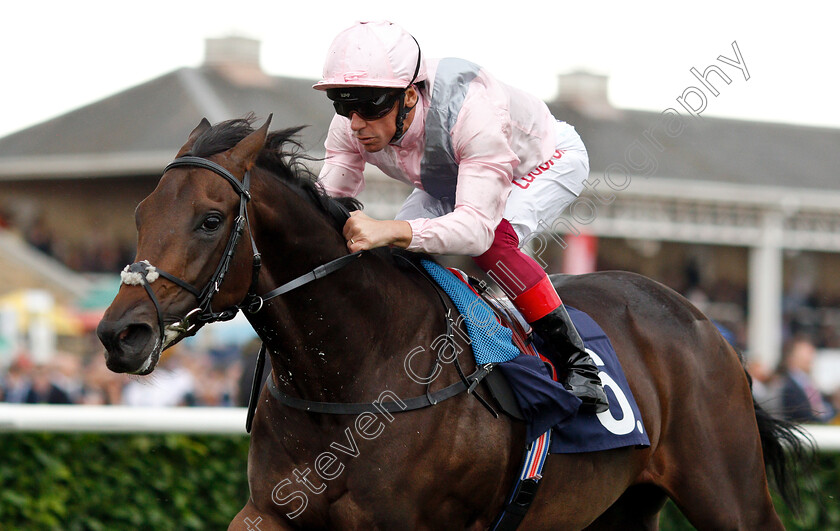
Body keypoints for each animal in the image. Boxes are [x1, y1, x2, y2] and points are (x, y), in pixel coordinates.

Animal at [97, 117, 808, 531]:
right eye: (138, 212)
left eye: (210, 219)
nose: (119, 334)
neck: (350, 375)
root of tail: (707, 327)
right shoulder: (274, 511)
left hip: (728, 492)